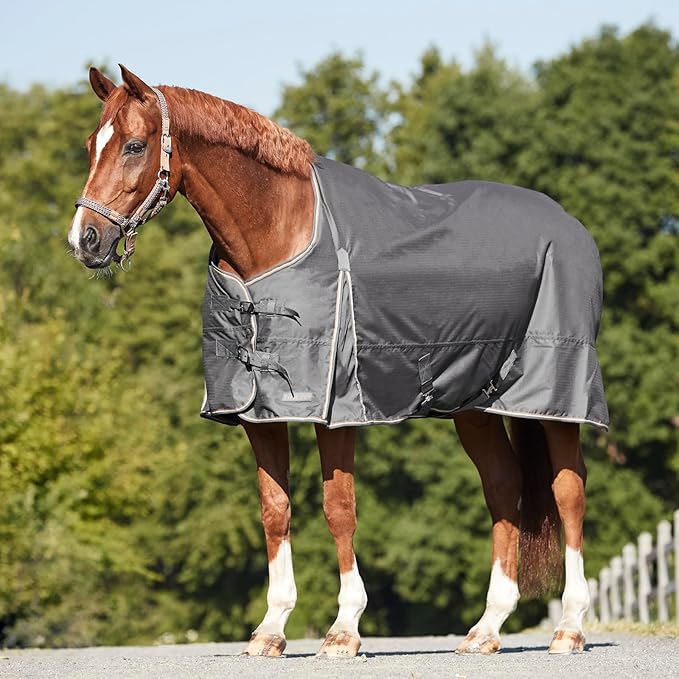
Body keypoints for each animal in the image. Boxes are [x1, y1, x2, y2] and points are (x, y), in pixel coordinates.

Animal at [69, 65, 605, 657]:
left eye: (134, 145)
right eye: (91, 144)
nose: (84, 240)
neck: (278, 235)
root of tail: (569, 223)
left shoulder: (336, 408)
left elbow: (338, 507)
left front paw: (344, 629)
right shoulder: (258, 413)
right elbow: (274, 509)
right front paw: (271, 629)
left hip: (557, 395)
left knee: (568, 490)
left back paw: (569, 627)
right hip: (474, 404)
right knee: (505, 487)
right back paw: (487, 628)